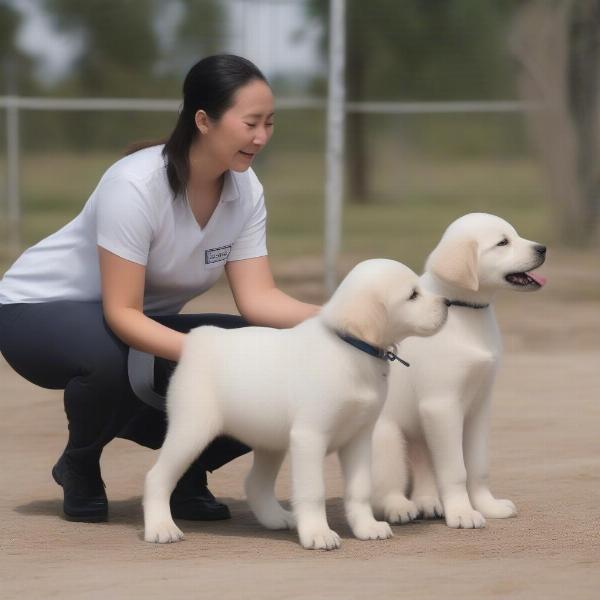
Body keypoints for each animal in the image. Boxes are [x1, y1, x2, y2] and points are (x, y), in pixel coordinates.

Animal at [143, 258, 448, 548]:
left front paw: (366, 527)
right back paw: (161, 528)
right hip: (191, 430)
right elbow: (313, 491)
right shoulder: (310, 436)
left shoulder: (360, 437)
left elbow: (360, 489)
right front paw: (317, 533)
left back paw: (277, 518)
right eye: (412, 295)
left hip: (269, 441)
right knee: (156, 477)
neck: (350, 351)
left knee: (255, 484)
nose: (447, 302)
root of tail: (199, 339)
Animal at [372, 213, 548, 528]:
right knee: (385, 486)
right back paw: (400, 508)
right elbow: (456, 471)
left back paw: (428, 502)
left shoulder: (479, 405)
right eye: (503, 242)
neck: (465, 311)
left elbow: (477, 466)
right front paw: (463, 513)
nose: (543, 249)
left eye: (515, 235)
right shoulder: (441, 406)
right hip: (388, 437)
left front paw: (488, 506)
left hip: (420, 433)